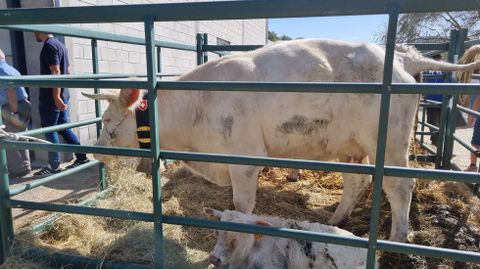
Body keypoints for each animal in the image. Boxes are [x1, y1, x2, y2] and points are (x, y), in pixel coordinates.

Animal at [84, 38, 480, 241]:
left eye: (107, 121)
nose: (97, 153)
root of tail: (400, 56)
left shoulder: (245, 159)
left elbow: (242, 206)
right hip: (351, 146)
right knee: (356, 182)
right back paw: (336, 219)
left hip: (391, 141)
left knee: (401, 187)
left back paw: (397, 239)